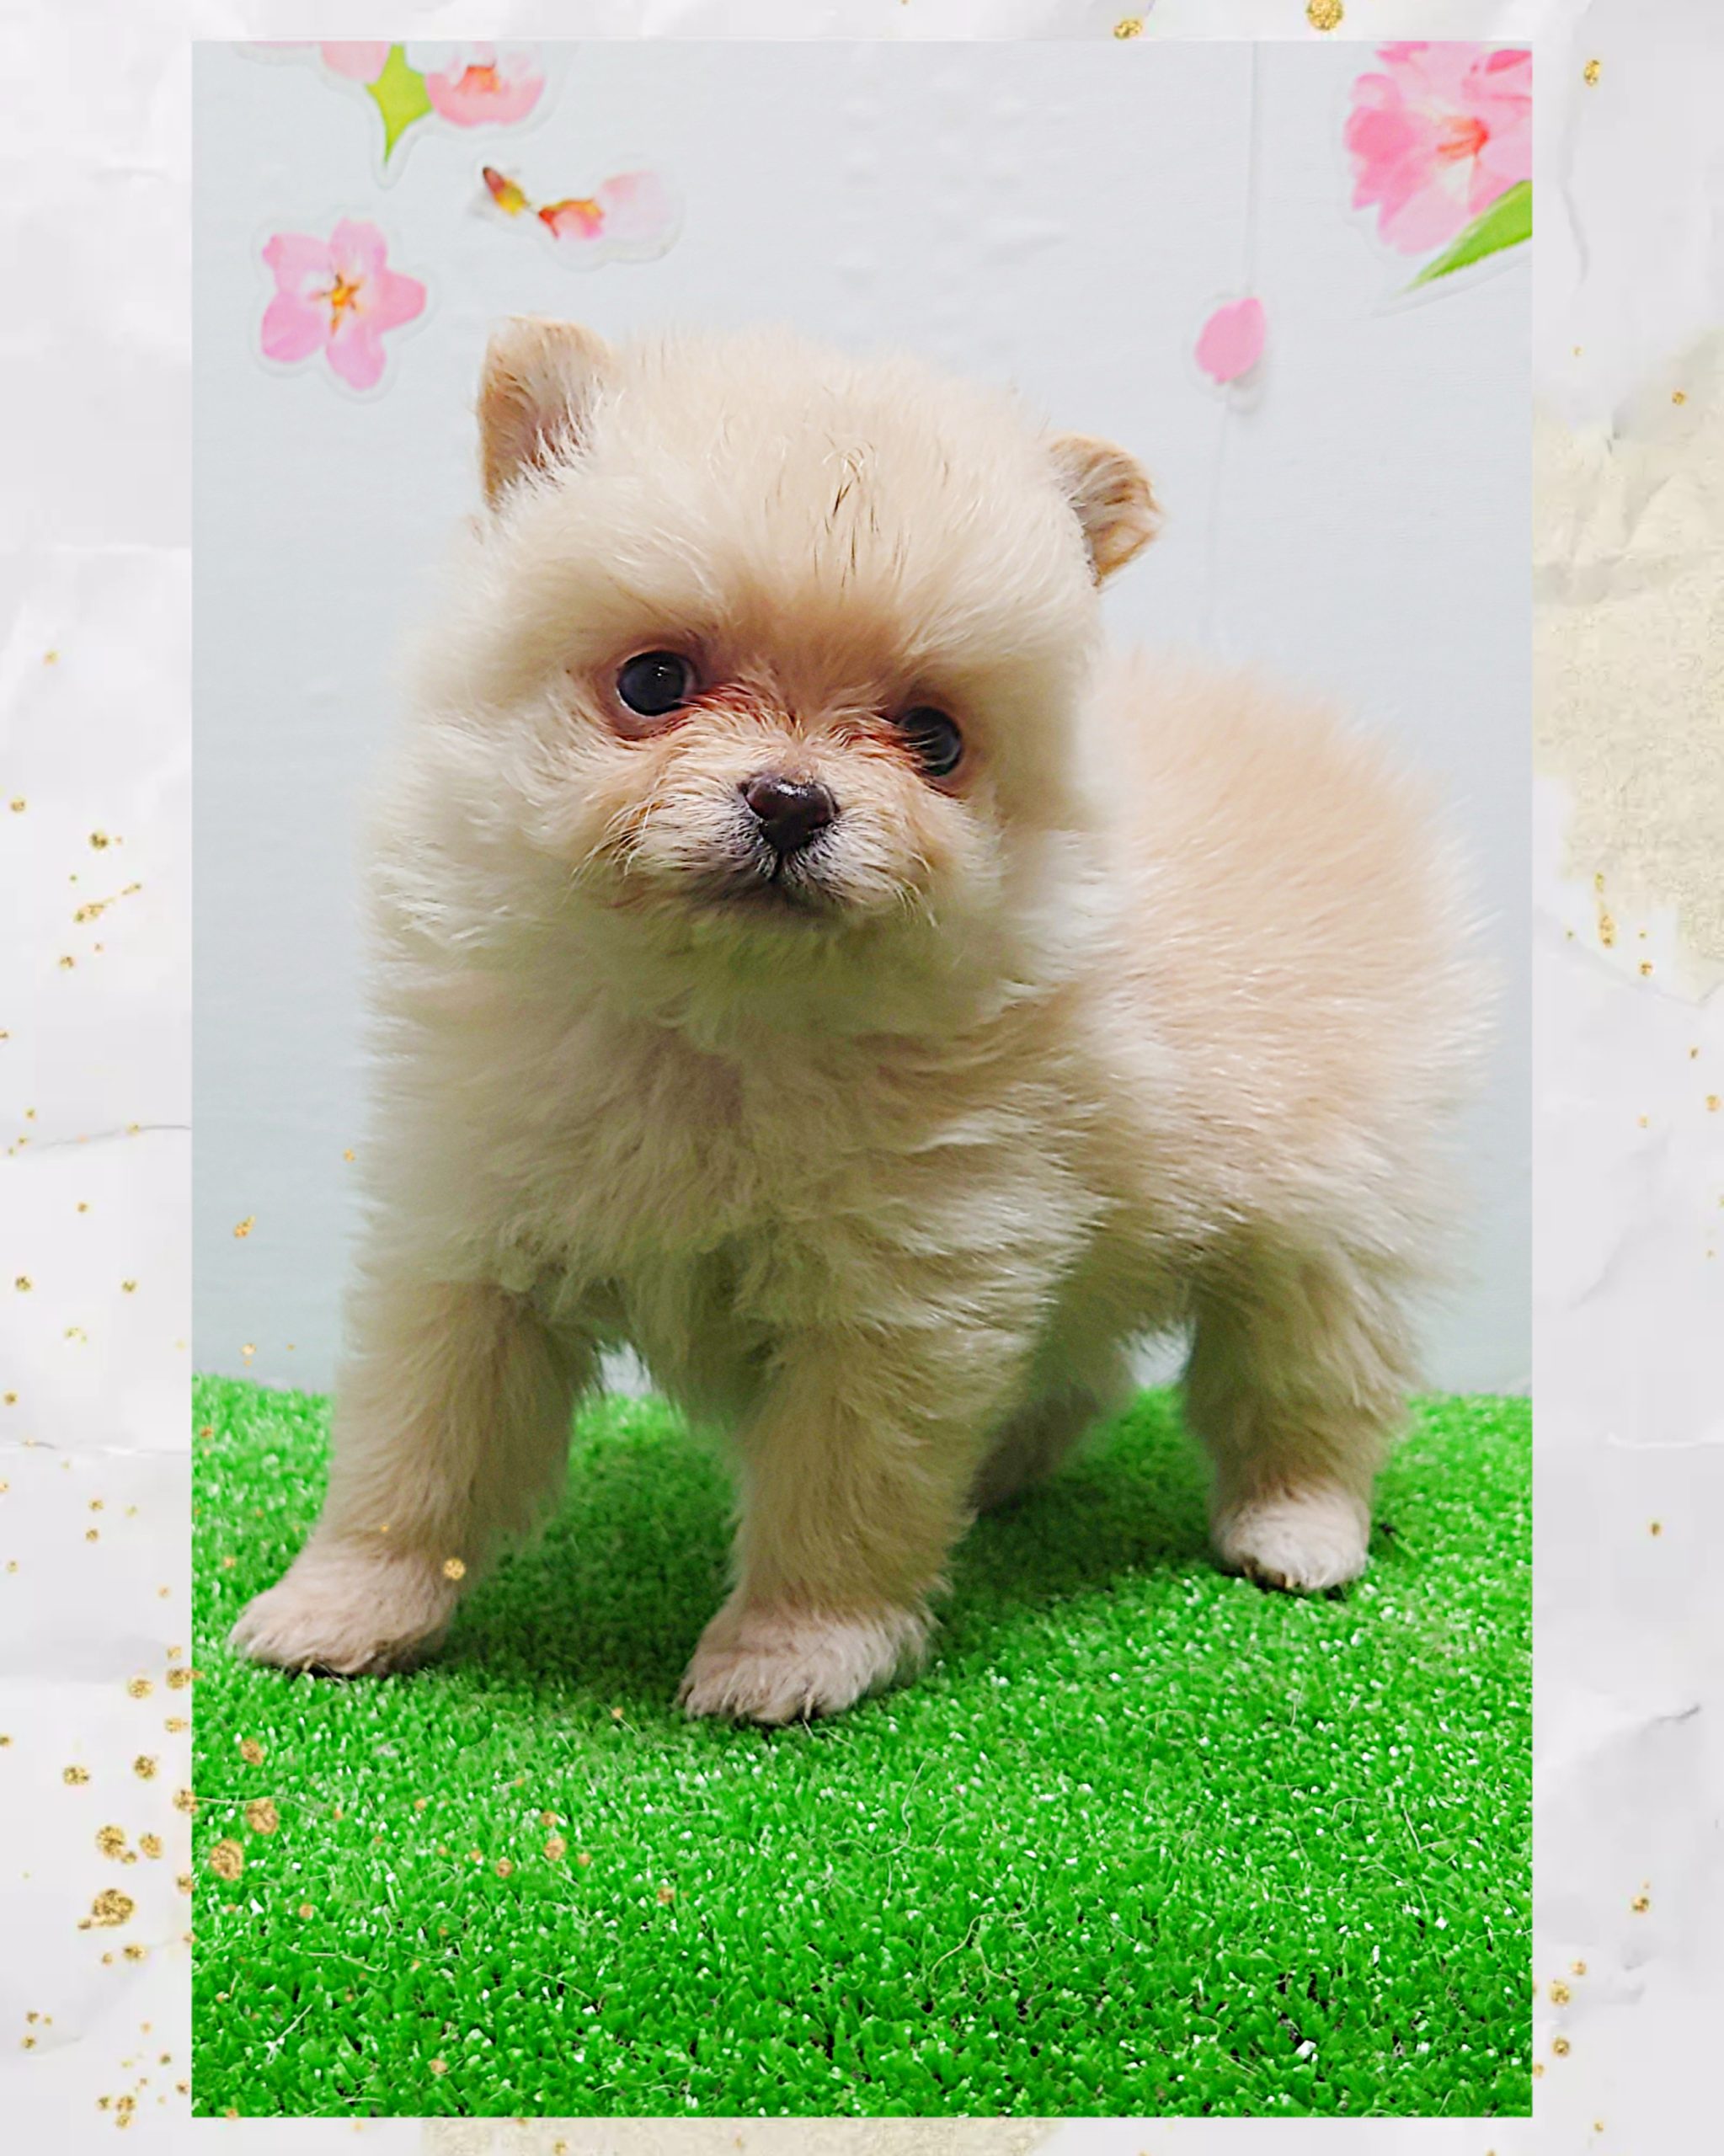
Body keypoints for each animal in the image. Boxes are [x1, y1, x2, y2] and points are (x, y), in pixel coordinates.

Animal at [231, 318, 1481, 1722]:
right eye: (652, 681)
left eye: (932, 740)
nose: (790, 800)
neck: (721, 1023)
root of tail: (1332, 751)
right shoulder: (474, 1249)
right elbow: (416, 1453)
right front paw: (345, 1605)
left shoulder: (898, 1300)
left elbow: (838, 1498)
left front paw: (793, 1654)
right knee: (1083, 1362)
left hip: (1322, 1233)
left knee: (1311, 1383)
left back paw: (1296, 1531)